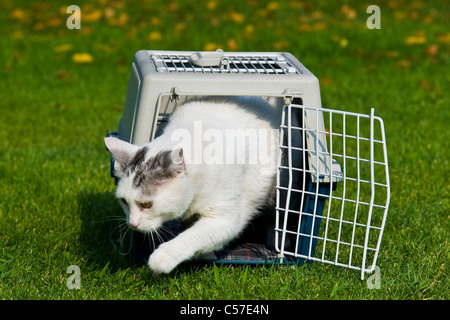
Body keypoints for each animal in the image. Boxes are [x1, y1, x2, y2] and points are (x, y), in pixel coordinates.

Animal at [105, 97, 282, 272]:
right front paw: (205, 256)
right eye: (124, 201)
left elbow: (194, 235)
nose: (132, 224)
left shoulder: (226, 219)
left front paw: (163, 256)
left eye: (147, 204)